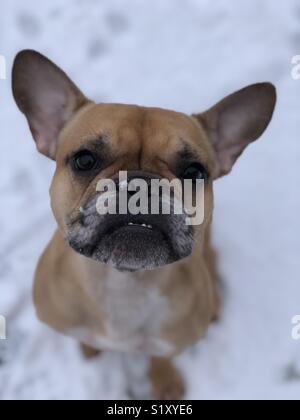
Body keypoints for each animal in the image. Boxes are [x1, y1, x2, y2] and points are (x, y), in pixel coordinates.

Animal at [12, 50, 276, 398]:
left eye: (194, 172)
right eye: (84, 159)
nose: (141, 184)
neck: (124, 281)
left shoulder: (169, 343)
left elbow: (160, 358)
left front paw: (164, 381)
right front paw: (89, 348)